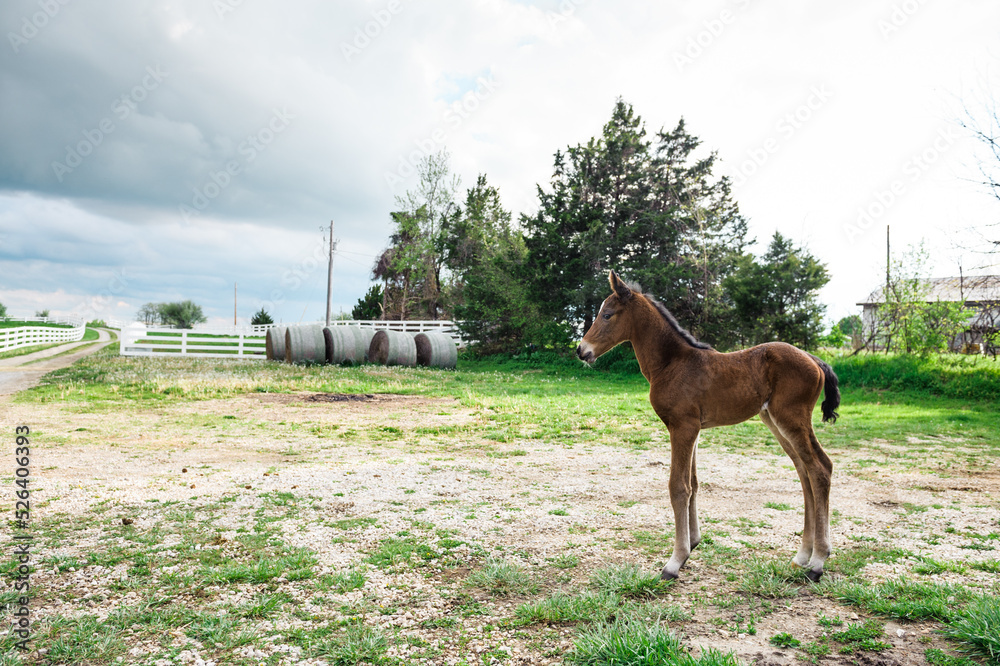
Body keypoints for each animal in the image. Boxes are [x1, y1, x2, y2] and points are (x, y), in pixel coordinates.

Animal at [577, 270, 840, 582]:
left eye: (607, 315)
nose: (581, 350)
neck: (672, 363)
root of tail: (814, 359)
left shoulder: (682, 427)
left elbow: (678, 487)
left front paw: (675, 561)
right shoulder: (693, 429)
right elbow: (693, 483)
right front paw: (692, 543)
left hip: (791, 418)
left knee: (820, 469)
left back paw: (818, 561)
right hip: (774, 420)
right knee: (805, 471)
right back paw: (801, 556)